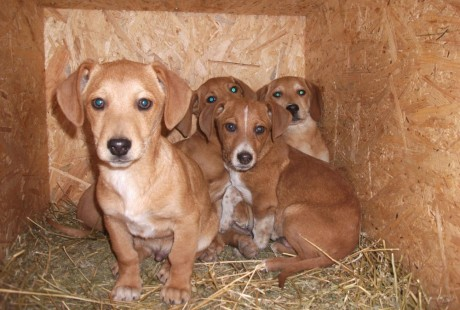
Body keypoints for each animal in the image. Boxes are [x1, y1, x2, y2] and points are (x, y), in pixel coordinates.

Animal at [55, 59, 217, 304]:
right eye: (98, 103)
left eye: (144, 103)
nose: (118, 146)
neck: (131, 177)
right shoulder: (114, 222)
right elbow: (126, 255)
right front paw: (128, 284)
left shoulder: (186, 221)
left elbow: (181, 257)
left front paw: (177, 287)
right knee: (141, 251)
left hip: (207, 229)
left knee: (187, 253)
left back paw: (167, 269)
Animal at [204, 97, 360, 288]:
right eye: (230, 127)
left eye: (260, 129)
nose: (245, 157)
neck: (261, 154)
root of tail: (351, 243)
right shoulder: (242, 189)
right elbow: (228, 194)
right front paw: (224, 222)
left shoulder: (264, 203)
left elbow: (259, 231)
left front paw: (253, 246)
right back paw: (279, 246)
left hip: (293, 213)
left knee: (307, 256)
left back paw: (271, 263)